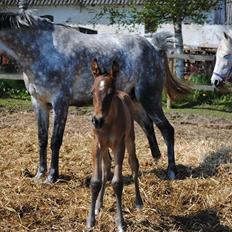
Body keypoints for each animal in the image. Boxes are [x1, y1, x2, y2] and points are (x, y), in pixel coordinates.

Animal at [0, 11, 188, 183]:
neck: (42, 50)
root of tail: (153, 46)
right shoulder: (39, 103)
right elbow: (42, 139)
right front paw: (39, 175)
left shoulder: (60, 102)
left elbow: (55, 140)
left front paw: (52, 176)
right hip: (135, 100)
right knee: (147, 124)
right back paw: (153, 159)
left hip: (150, 98)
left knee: (167, 129)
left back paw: (171, 171)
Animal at [86, 59, 142, 230]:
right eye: (92, 92)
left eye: (110, 93)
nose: (97, 121)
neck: (108, 122)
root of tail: (124, 93)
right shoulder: (96, 145)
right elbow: (95, 181)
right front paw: (90, 220)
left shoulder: (119, 146)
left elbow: (117, 183)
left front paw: (121, 223)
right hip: (105, 148)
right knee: (105, 170)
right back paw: (98, 205)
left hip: (130, 140)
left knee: (134, 164)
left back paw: (139, 202)